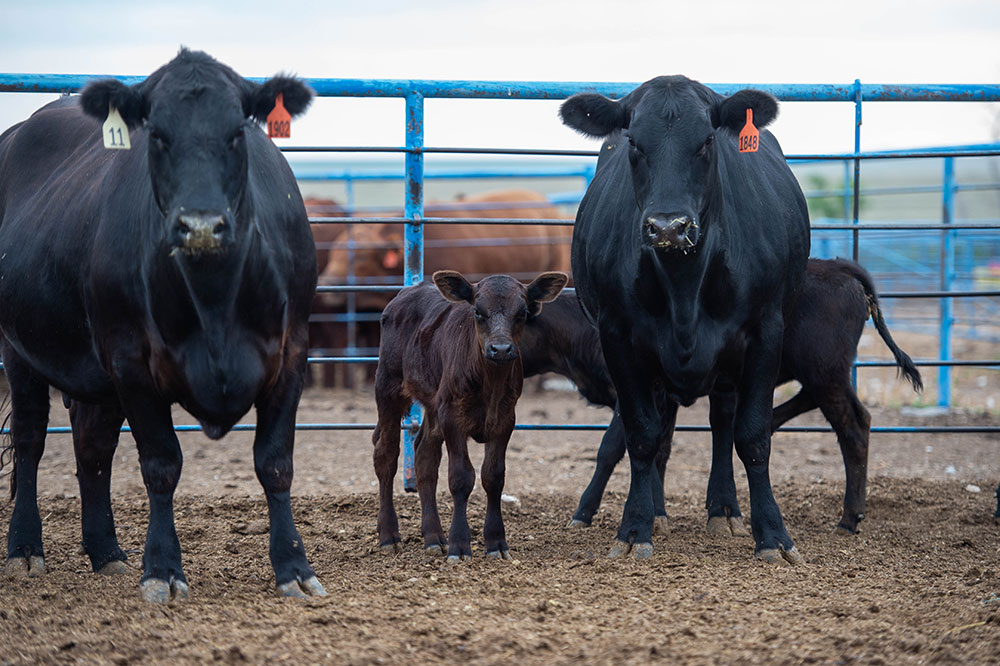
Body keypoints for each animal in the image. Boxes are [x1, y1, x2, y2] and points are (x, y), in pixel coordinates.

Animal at [0, 49, 322, 600]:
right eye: (157, 134)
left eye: (237, 131)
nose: (200, 226)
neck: (215, 302)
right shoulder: (131, 361)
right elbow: (161, 466)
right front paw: (164, 569)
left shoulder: (291, 353)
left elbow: (275, 462)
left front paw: (294, 568)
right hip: (20, 349)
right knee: (29, 440)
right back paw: (24, 548)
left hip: (93, 371)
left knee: (92, 447)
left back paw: (106, 552)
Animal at [372, 268, 568, 556]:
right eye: (477, 311)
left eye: (523, 312)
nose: (500, 349)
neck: (490, 385)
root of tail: (407, 292)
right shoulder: (452, 418)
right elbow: (461, 477)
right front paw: (460, 544)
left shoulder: (505, 420)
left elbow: (493, 476)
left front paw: (496, 541)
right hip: (388, 387)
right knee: (386, 456)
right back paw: (389, 535)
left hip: (434, 403)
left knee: (425, 459)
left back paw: (433, 536)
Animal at [524, 258, 920, 536]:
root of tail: (841, 267)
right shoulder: (661, 396)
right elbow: (660, 450)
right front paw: (658, 514)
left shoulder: (633, 393)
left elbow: (610, 449)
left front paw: (584, 513)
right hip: (822, 373)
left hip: (826, 372)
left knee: (854, 425)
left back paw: (849, 518)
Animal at [564, 76, 812, 560]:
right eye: (634, 143)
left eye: (707, 142)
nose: (668, 227)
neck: (684, 283)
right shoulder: (617, 336)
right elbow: (642, 434)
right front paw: (634, 529)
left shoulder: (765, 332)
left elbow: (752, 435)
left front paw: (772, 534)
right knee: (662, 433)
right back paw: (659, 514)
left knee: (722, 423)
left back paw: (725, 509)